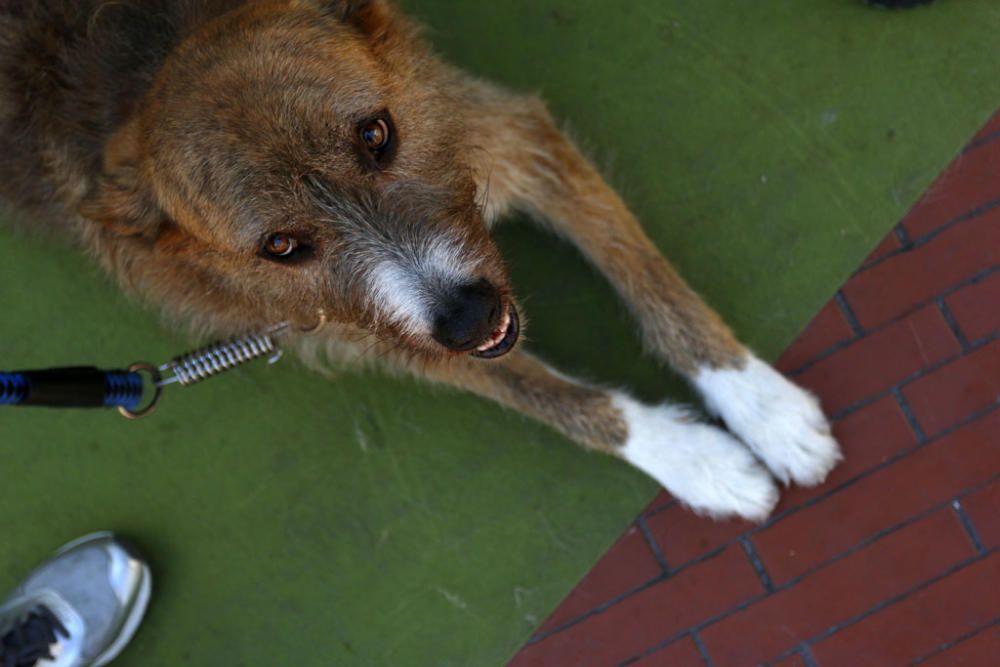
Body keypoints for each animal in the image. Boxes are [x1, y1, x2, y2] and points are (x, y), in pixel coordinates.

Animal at [1, 0, 844, 520]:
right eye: (279, 246)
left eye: (378, 135)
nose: (471, 316)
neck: (145, 55)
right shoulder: (369, 329)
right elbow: (556, 398)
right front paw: (699, 460)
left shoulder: (509, 137)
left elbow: (653, 284)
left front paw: (761, 405)